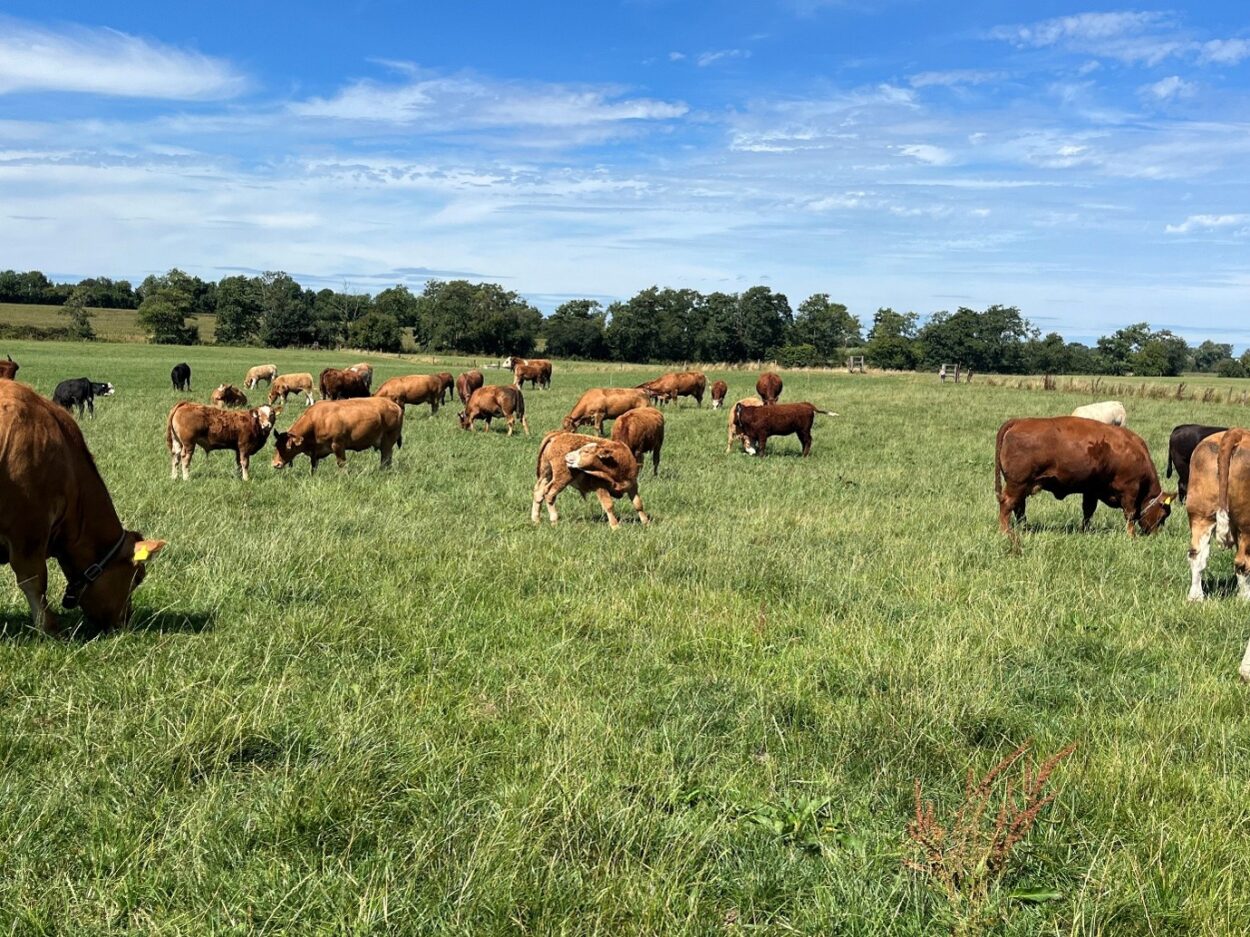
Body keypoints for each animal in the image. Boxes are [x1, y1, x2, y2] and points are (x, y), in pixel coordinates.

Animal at [272, 397, 403, 473]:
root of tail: (393, 404)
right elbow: (313, 467)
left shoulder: (338, 445)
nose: (275, 464)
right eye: (276, 446)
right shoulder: (315, 452)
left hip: (387, 441)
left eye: (288, 447)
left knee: (385, 458)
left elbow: (342, 464)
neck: (316, 421)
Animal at [994, 416, 1173, 537]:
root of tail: (1019, 421)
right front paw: (1131, 536)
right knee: (1007, 505)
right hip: (1017, 485)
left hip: (1022, 487)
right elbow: (1130, 515)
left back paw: (1025, 528)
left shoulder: (1091, 490)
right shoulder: (1130, 491)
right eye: (1163, 515)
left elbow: (1088, 511)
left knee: (1019, 508)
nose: (1155, 535)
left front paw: (1085, 530)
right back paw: (1006, 531)